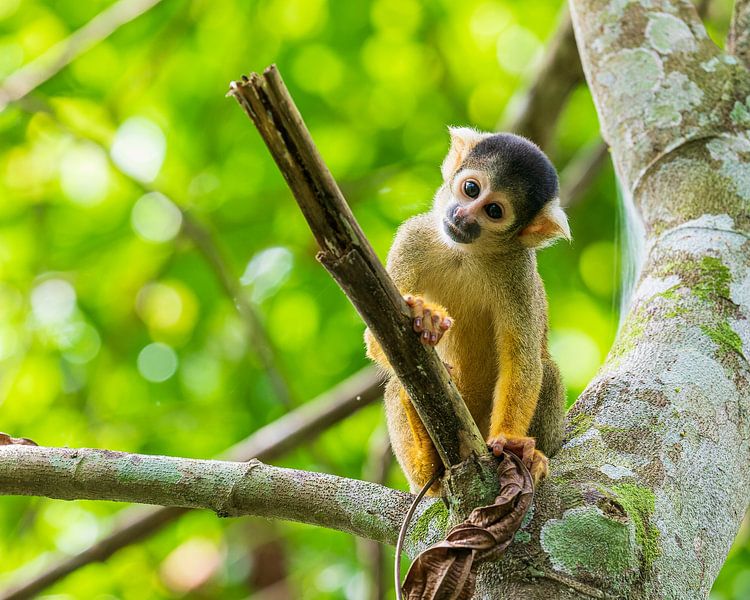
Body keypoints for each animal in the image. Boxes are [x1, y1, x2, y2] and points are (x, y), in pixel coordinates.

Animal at [366, 126, 568, 492]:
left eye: (494, 211)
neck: (466, 253)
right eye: (471, 189)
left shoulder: (518, 269)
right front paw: (425, 316)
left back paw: (532, 459)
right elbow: (377, 335)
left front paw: (510, 440)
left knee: (548, 370)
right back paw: (426, 463)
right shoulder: (412, 237)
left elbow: (523, 359)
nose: (462, 215)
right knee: (396, 385)